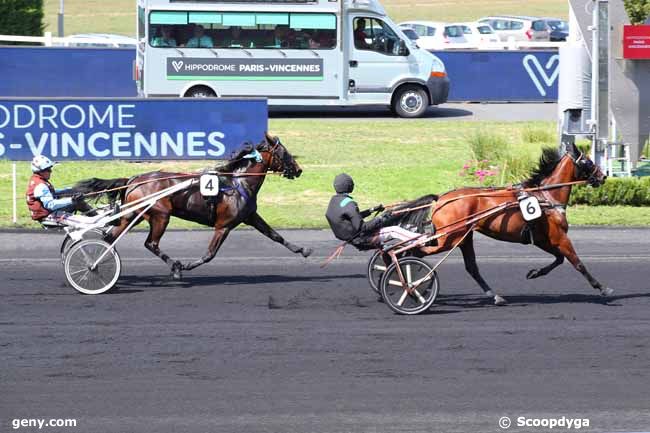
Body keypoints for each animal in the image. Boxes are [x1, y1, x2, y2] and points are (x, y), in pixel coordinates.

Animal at [73, 133, 312, 278]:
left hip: (133, 215)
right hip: (161, 215)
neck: (238, 182)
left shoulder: (250, 216)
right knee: (151, 243)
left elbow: (275, 235)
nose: (299, 169)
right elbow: (210, 254)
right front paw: (186, 266)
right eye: (284, 153)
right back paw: (176, 266)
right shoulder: (223, 226)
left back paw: (96, 262)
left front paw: (303, 249)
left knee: (110, 237)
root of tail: (134, 179)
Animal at [400, 143, 608, 306]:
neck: (546, 197)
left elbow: (559, 259)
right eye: (588, 162)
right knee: (417, 250)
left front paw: (534, 273)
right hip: (449, 238)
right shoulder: (559, 237)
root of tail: (440, 199)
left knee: (471, 267)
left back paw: (495, 296)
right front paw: (602, 288)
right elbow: (577, 262)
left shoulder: (542, 239)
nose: (604, 176)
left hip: (463, 237)